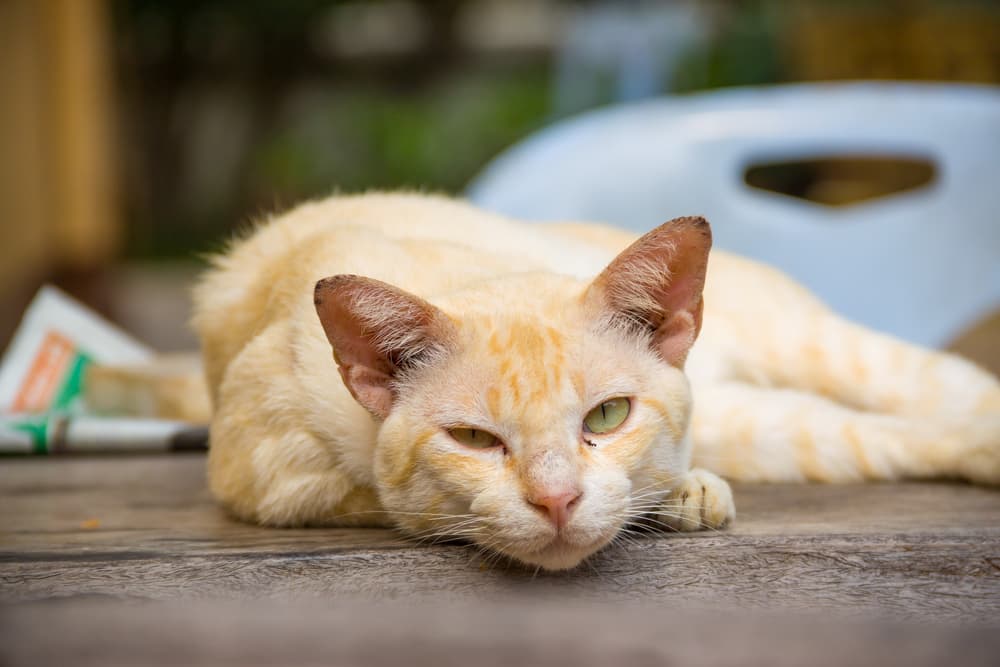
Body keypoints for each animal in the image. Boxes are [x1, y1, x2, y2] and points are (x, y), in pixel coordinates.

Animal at [193, 190, 1000, 572]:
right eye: (474, 438)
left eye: (607, 416)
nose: (556, 501)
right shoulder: (270, 476)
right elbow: (393, 504)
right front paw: (679, 497)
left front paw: (681, 493)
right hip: (756, 417)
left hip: (804, 345)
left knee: (936, 385)